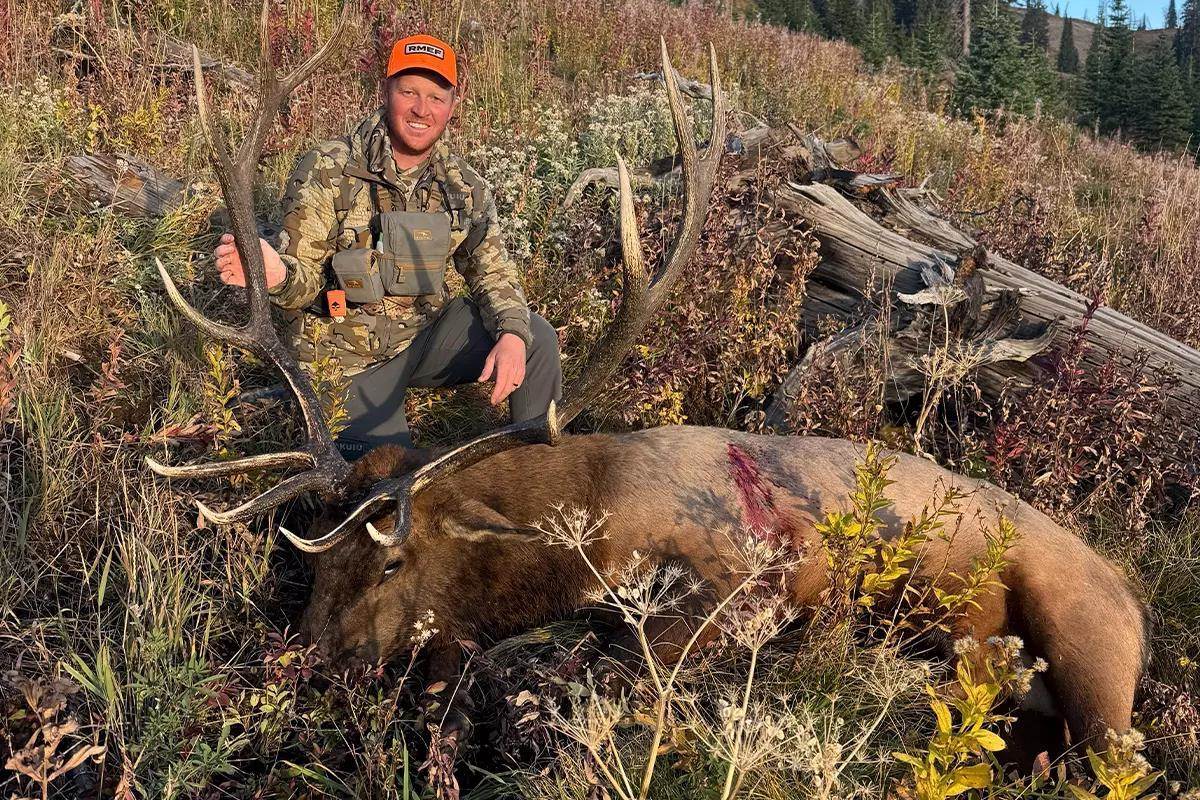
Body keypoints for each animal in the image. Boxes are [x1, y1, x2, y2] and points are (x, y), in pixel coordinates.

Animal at [146, 3, 1147, 766]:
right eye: (319, 557)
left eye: (391, 559)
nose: (313, 658)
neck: (580, 527)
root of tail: (1136, 596)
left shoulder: (757, 576)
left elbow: (627, 666)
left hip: (1089, 635)